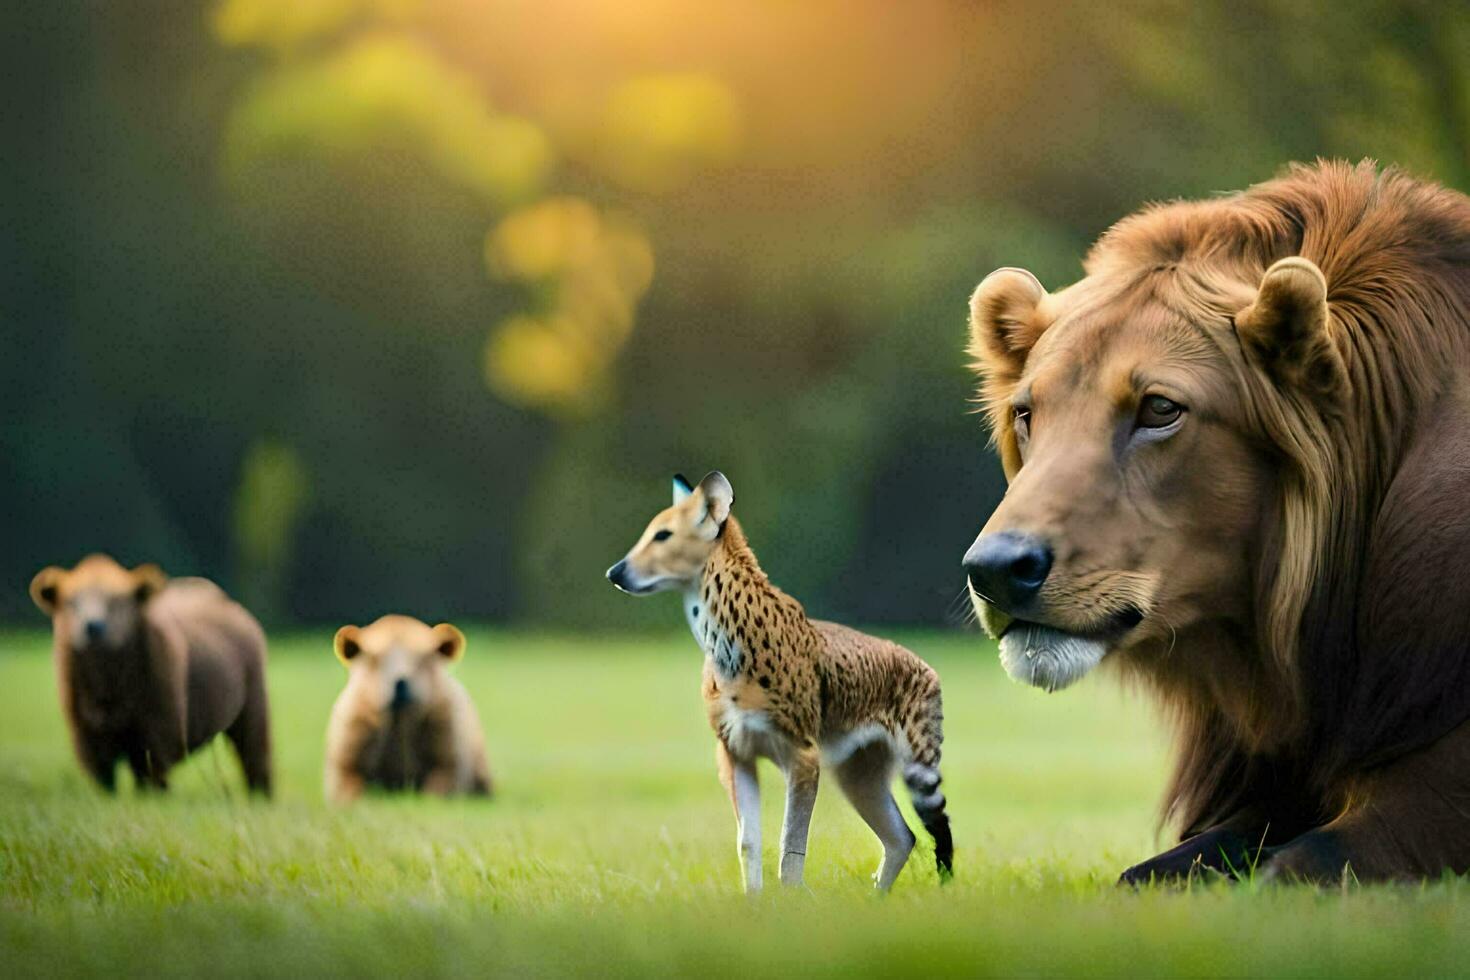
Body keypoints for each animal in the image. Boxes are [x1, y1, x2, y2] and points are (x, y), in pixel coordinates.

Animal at [964, 160, 1470, 881]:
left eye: (1159, 409)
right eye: (1027, 413)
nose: (996, 570)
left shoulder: (1433, 802)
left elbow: (1292, 867)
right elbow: (1144, 877)